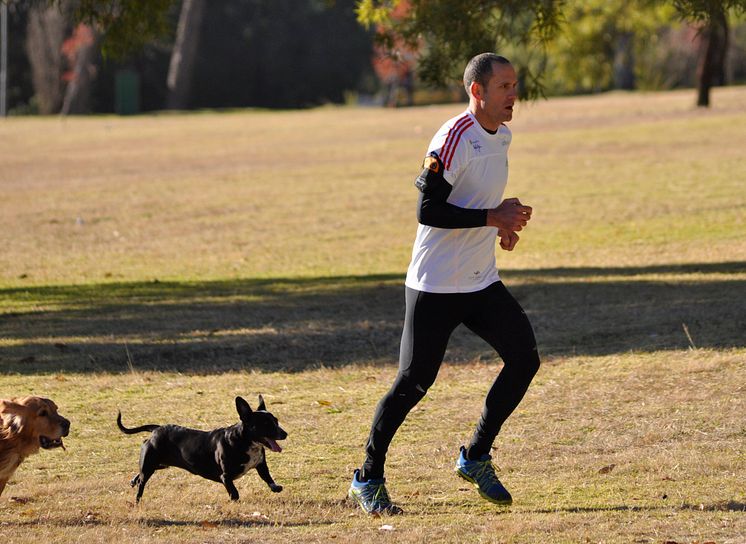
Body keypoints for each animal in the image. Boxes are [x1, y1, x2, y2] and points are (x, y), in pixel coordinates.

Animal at [117, 396, 286, 502]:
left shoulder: (261, 465)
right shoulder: (225, 476)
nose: (285, 434)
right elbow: (234, 492)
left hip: (159, 464)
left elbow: (267, 477)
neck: (245, 441)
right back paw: (137, 499)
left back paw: (133, 480)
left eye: (276, 421)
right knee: (142, 482)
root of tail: (156, 429)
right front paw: (234, 501)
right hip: (150, 463)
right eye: (265, 424)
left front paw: (275, 487)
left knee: (140, 475)